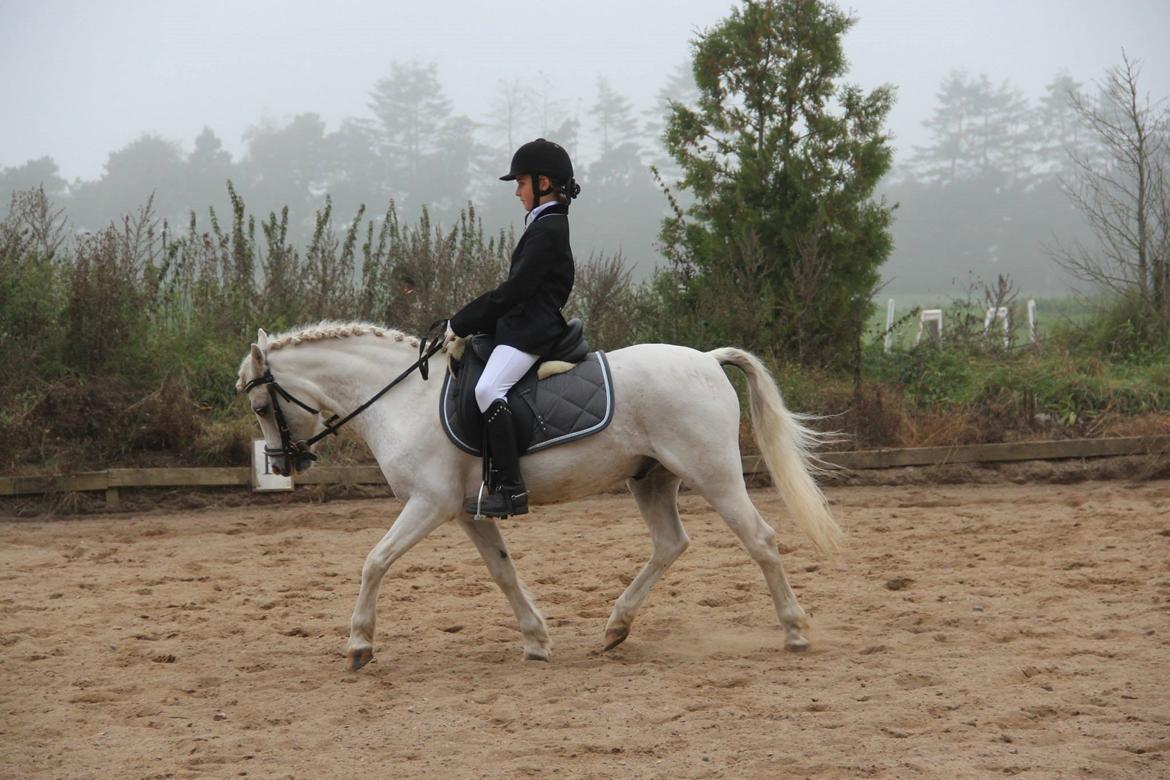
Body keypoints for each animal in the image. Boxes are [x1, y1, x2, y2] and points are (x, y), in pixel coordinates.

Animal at [236, 321, 843, 671]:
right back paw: (616, 627)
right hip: (650, 478)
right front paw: (536, 640)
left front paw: (360, 644)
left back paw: (795, 630)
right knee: (671, 544)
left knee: (760, 540)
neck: (403, 396)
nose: (283, 464)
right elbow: (503, 572)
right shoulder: (467, 511)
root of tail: (707, 359)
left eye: (262, 406)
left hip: (713, 474)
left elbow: (374, 561)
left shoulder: (429, 504)